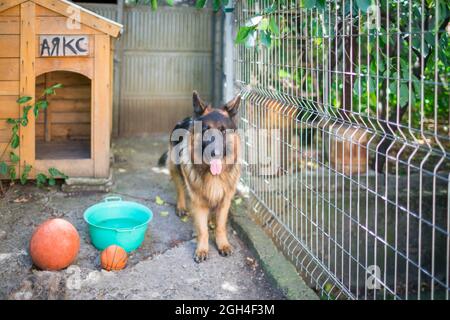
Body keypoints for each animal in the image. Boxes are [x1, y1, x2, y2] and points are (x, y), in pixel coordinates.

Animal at [159, 90, 243, 262]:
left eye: (223, 130)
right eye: (205, 129)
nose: (214, 153)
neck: (213, 174)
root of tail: (187, 118)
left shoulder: (225, 201)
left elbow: (220, 226)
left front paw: (223, 244)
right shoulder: (198, 203)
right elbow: (202, 230)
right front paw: (202, 249)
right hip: (176, 168)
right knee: (180, 188)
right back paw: (181, 206)